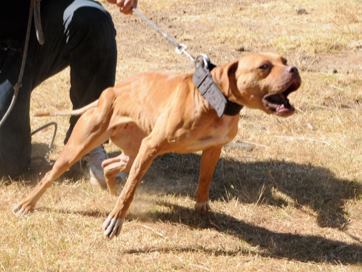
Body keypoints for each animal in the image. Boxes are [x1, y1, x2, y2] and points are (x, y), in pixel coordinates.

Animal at [12, 52, 302, 238]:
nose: (295, 70)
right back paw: (26, 204)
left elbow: (204, 181)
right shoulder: (152, 147)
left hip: (133, 152)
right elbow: (131, 190)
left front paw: (202, 210)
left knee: (108, 164)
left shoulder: (212, 149)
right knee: (50, 176)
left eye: (284, 61)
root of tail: (108, 93)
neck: (213, 98)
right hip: (84, 146)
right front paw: (116, 221)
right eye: (264, 67)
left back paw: (111, 191)